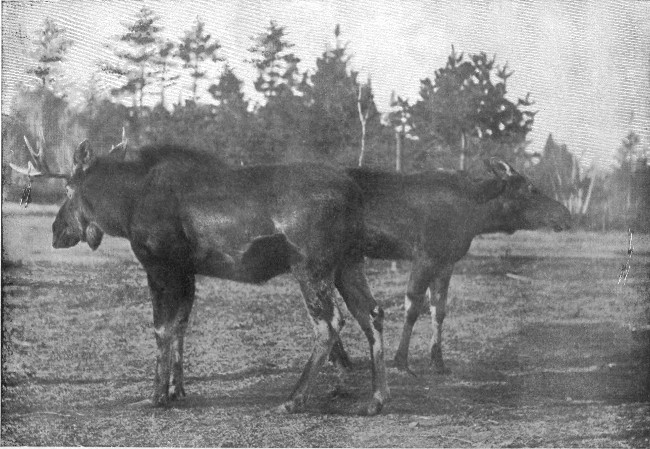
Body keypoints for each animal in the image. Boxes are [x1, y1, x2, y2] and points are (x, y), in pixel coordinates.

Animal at [11, 136, 384, 412]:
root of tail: (356, 194)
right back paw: (376, 399)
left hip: (310, 264)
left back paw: (294, 399)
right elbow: (180, 326)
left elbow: (161, 328)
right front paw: (177, 390)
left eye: (69, 190)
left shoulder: (161, 265)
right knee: (372, 313)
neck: (125, 208)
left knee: (330, 323)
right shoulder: (186, 270)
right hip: (349, 262)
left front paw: (156, 396)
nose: (56, 231)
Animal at [332, 158, 568, 374]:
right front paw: (401, 361)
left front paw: (438, 361)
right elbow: (412, 309)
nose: (566, 213)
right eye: (531, 188)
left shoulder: (445, 262)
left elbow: (438, 310)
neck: (476, 217)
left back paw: (341, 358)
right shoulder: (425, 255)